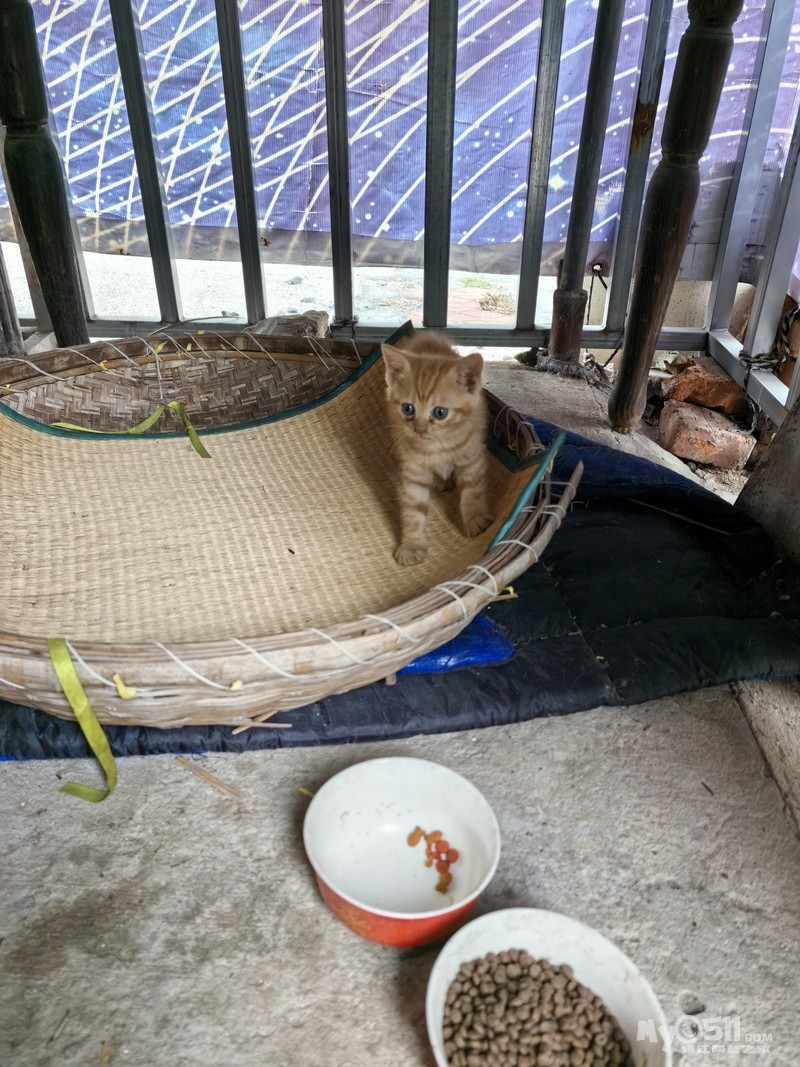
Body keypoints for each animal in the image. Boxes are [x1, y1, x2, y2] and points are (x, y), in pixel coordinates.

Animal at [381, 331, 492, 566]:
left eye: (440, 413)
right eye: (408, 408)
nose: (419, 429)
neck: (437, 447)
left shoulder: (472, 458)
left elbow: (472, 491)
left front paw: (476, 520)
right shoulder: (413, 471)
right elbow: (413, 511)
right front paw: (412, 546)